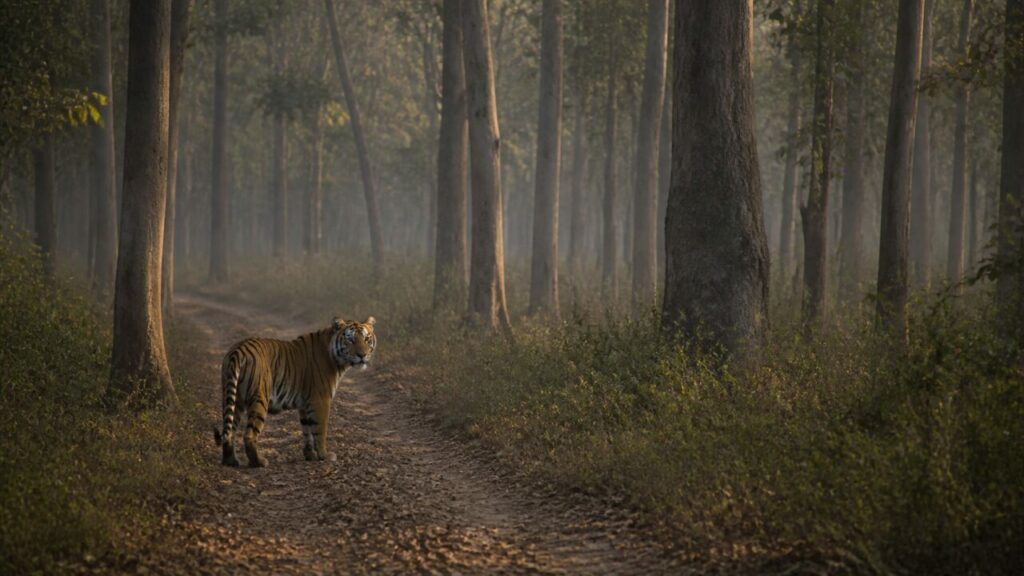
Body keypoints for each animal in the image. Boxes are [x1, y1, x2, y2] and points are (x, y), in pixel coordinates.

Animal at [213, 316, 377, 467]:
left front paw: (310, 455)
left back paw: (231, 461)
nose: (362, 355)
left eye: (367, 339)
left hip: (233, 399)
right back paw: (259, 462)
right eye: (350, 340)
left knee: (230, 431)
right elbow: (320, 429)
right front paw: (324, 455)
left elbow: (307, 429)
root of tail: (239, 350)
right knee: (249, 434)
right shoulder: (321, 400)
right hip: (259, 398)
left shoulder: (305, 403)